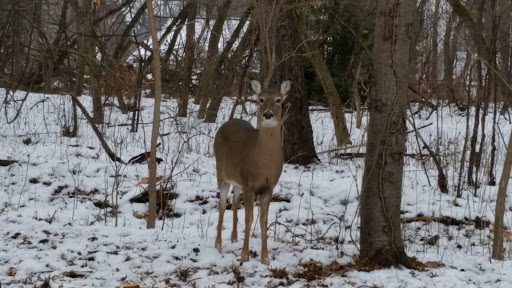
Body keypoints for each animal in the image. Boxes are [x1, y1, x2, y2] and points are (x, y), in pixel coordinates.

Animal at [213, 80, 292, 264]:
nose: (268, 115)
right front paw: (244, 256)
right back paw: (218, 244)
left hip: (237, 180)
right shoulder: (249, 183)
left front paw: (265, 258)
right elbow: (248, 218)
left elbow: (263, 219)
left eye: (278, 100)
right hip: (221, 172)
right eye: (260, 99)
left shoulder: (268, 187)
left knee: (235, 201)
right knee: (222, 205)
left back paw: (234, 237)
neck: (263, 163)